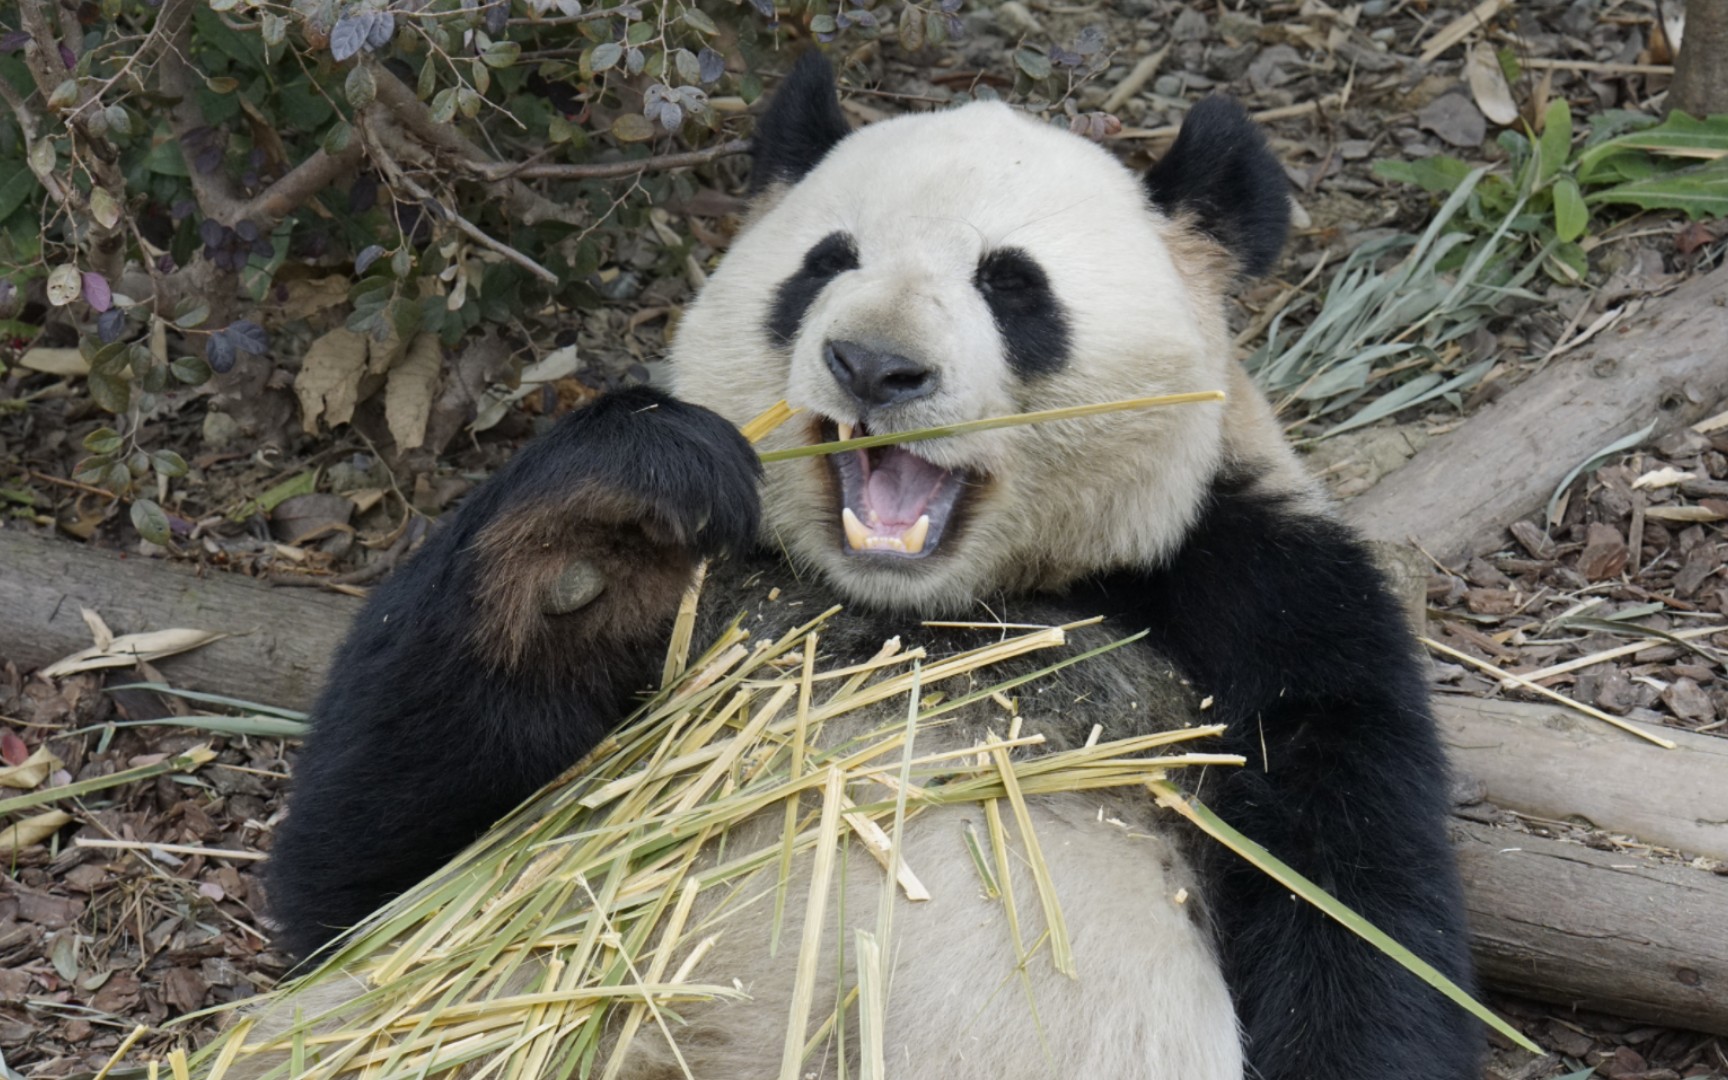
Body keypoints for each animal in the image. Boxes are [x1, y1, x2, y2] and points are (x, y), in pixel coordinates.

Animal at [262, 52, 1479, 1078]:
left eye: (1014, 284)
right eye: (825, 264)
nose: (873, 366)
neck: (925, 609)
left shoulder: (1259, 593)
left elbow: (1354, 907)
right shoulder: (717, 600)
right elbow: (367, 877)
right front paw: (606, 527)